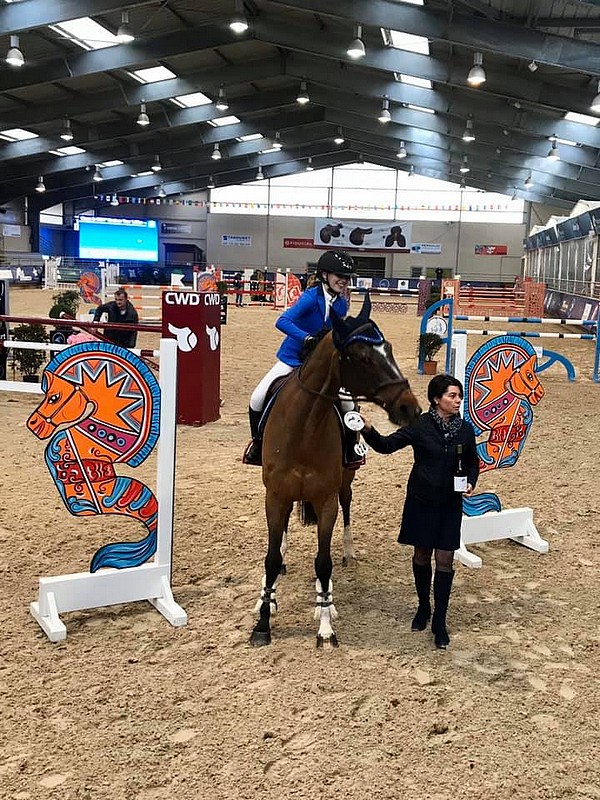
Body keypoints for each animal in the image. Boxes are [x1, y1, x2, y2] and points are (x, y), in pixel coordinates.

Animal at [251, 296, 420, 648]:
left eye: (389, 348)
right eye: (363, 357)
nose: (409, 408)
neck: (304, 425)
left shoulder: (325, 499)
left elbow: (323, 562)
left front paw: (326, 625)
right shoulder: (275, 495)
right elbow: (271, 558)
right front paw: (263, 620)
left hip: (345, 483)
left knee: (346, 510)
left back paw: (342, 562)